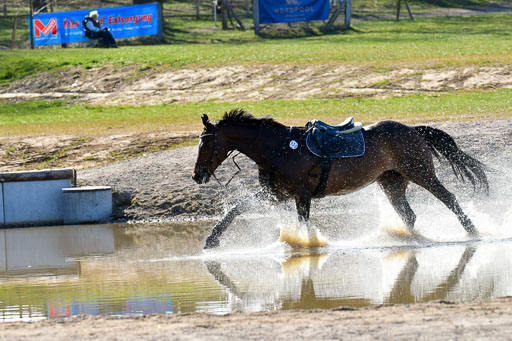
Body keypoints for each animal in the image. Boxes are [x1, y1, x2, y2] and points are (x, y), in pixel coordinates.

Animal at [193, 108, 488, 247]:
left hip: (421, 173)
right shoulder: (276, 194)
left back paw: (473, 231)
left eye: (205, 143)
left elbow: (303, 222)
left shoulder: (300, 195)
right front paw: (212, 238)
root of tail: (413, 130)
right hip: (392, 182)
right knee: (409, 214)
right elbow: (236, 208)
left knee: (449, 199)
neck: (278, 148)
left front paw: (308, 244)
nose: (197, 175)